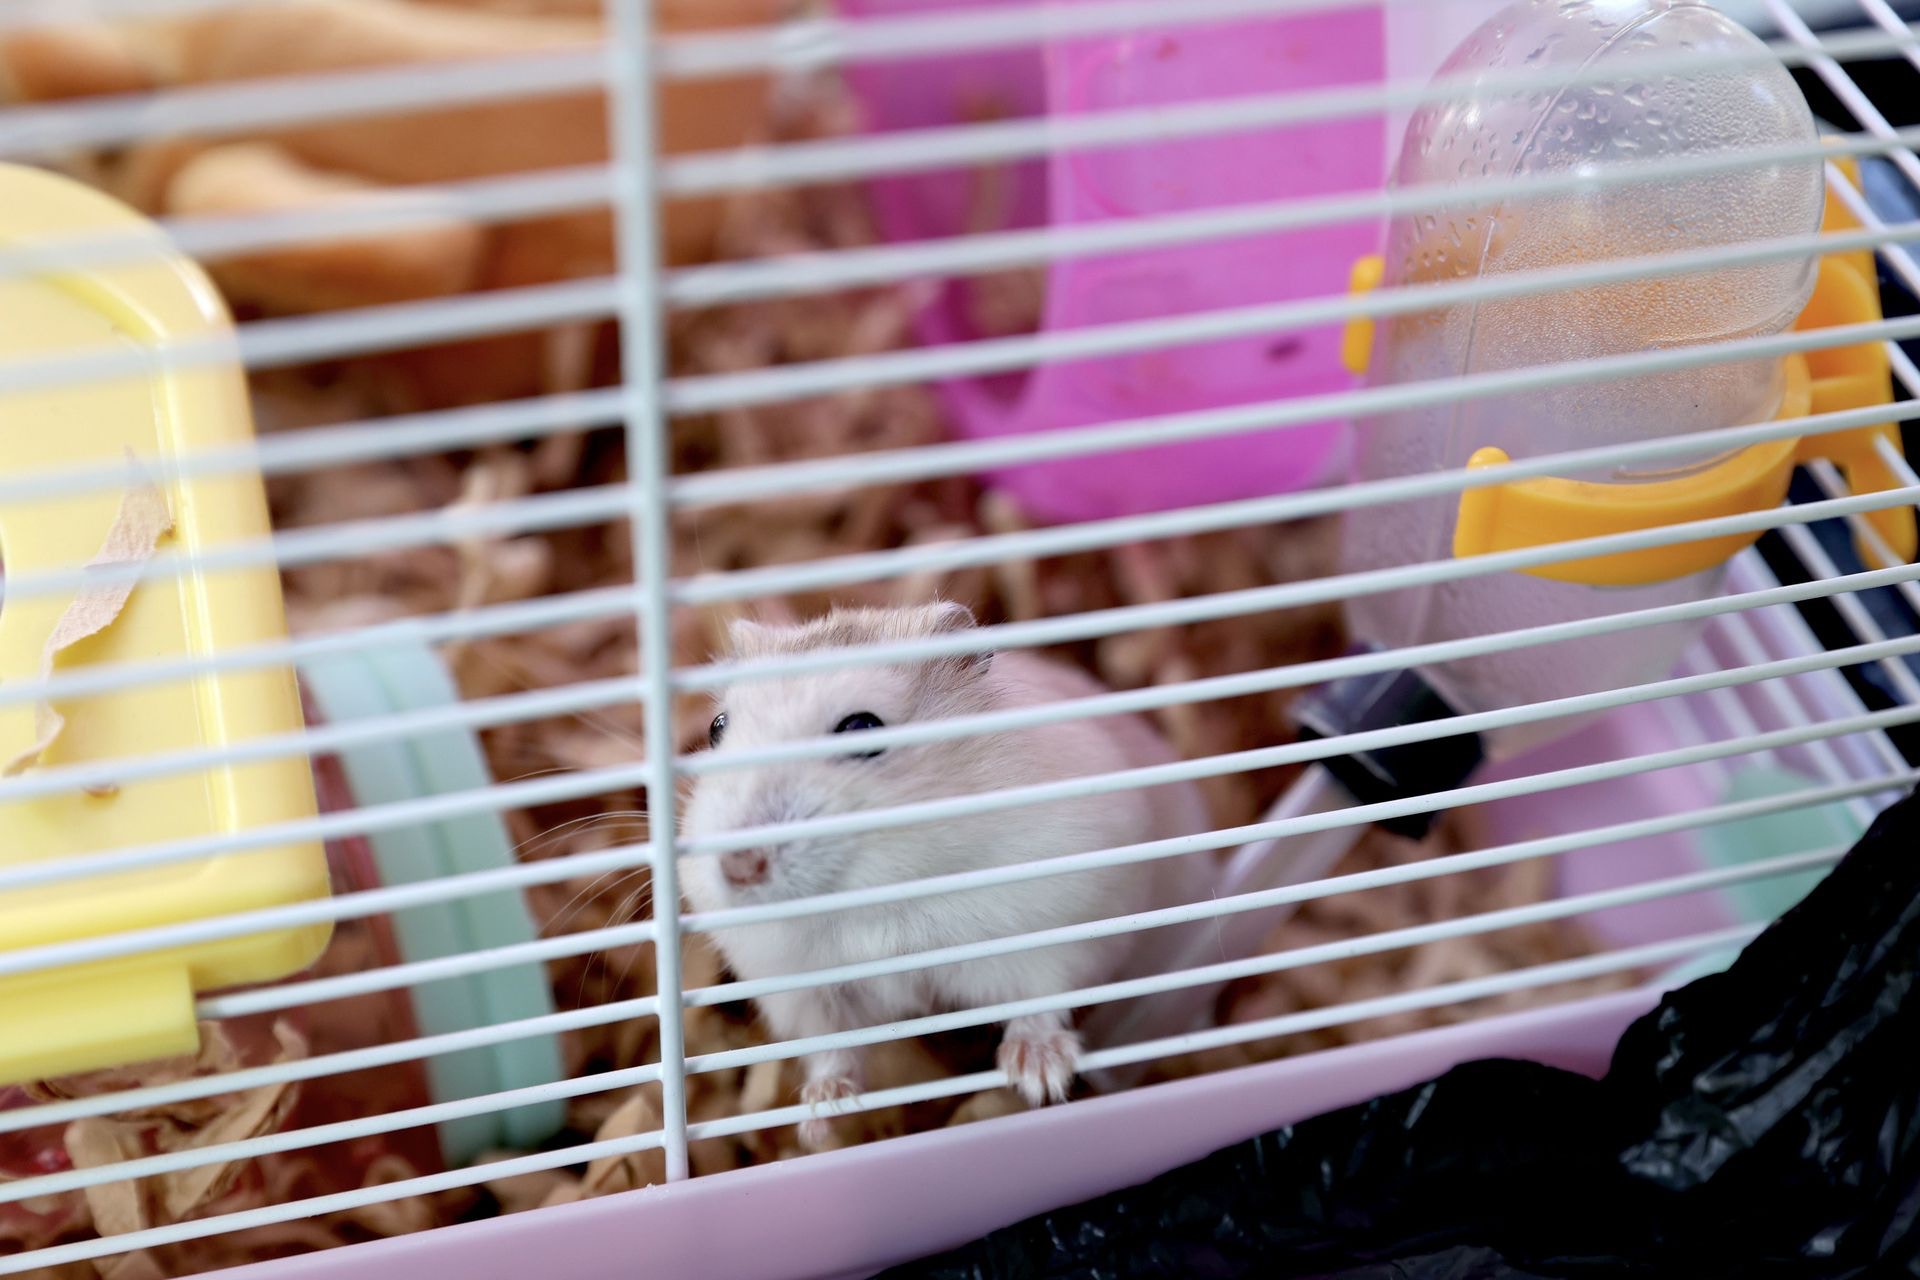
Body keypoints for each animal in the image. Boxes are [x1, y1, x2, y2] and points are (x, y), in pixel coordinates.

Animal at [680, 601, 1216, 1149]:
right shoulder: (800, 985)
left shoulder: (1059, 926)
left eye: (862, 728)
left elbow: (1042, 995)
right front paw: (822, 1114)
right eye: (718, 727)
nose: (738, 870)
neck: (883, 894)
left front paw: (1038, 1076)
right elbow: (832, 1043)